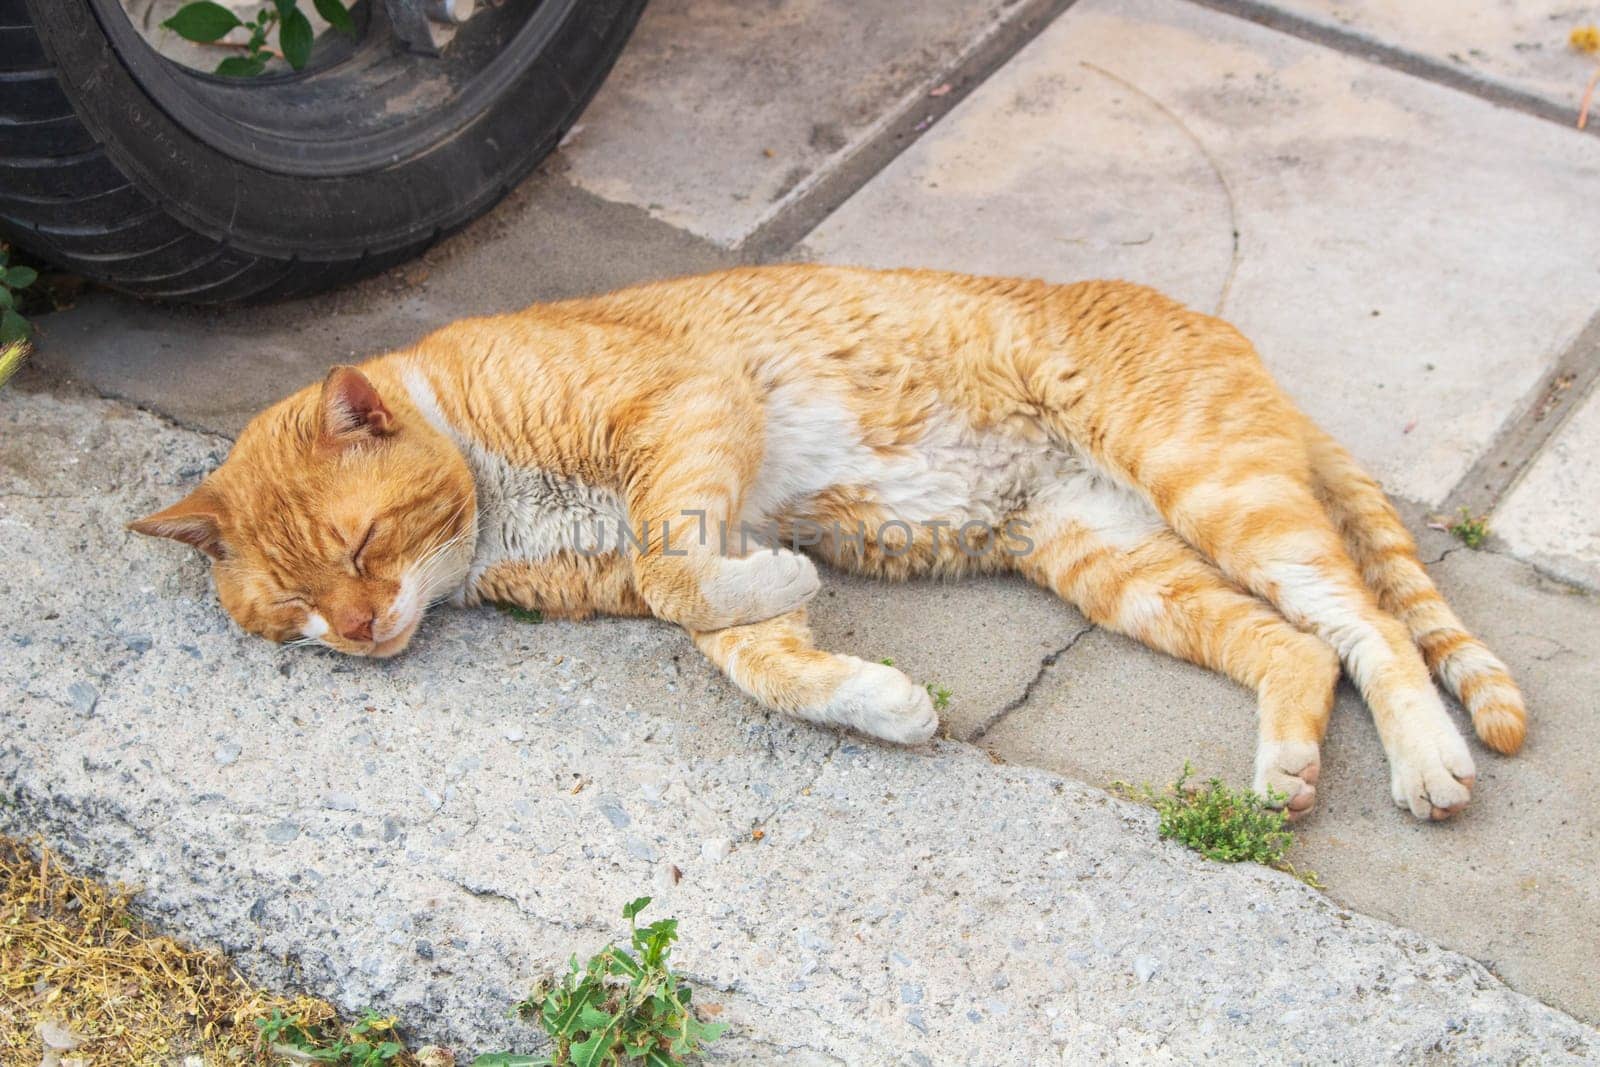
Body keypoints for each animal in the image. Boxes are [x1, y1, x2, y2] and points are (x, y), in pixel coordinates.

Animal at [128, 262, 1523, 825]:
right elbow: (749, 643)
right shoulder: (707, 536)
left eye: (364, 542)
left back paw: (1428, 763)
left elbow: (674, 570)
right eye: (297, 612)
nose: (365, 629)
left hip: (1213, 484)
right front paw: (885, 703)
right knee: (1299, 649)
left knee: (1372, 626)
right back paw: (1287, 762)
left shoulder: (689, 419)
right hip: (1115, 562)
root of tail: (1231, 342)